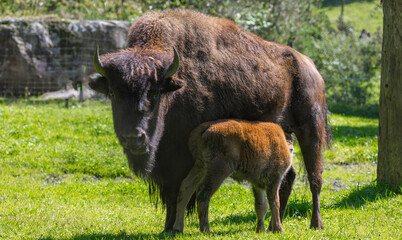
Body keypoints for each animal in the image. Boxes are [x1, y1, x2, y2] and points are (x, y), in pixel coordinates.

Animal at [90, 8, 330, 231]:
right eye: (112, 93)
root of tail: (310, 66)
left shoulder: (179, 156)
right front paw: (168, 228)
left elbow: (177, 189)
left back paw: (315, 223)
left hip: (311, 129)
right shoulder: (167, 160)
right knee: (288, 178)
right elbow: (172, 192)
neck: (174, 85)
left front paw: (174, 226)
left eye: (155, 92)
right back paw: (275, 222)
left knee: (314, 177)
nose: (133, 138)